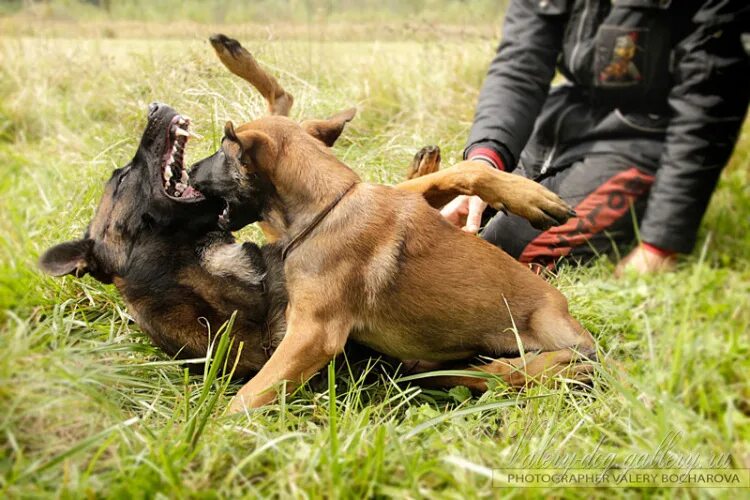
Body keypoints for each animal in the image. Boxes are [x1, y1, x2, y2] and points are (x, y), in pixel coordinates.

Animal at [189, 34, 600, 410]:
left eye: (221, 154)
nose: (190, 170)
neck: (329, 206)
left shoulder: (313, 335)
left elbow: (247, 396)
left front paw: (218, 429)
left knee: (540, 367)